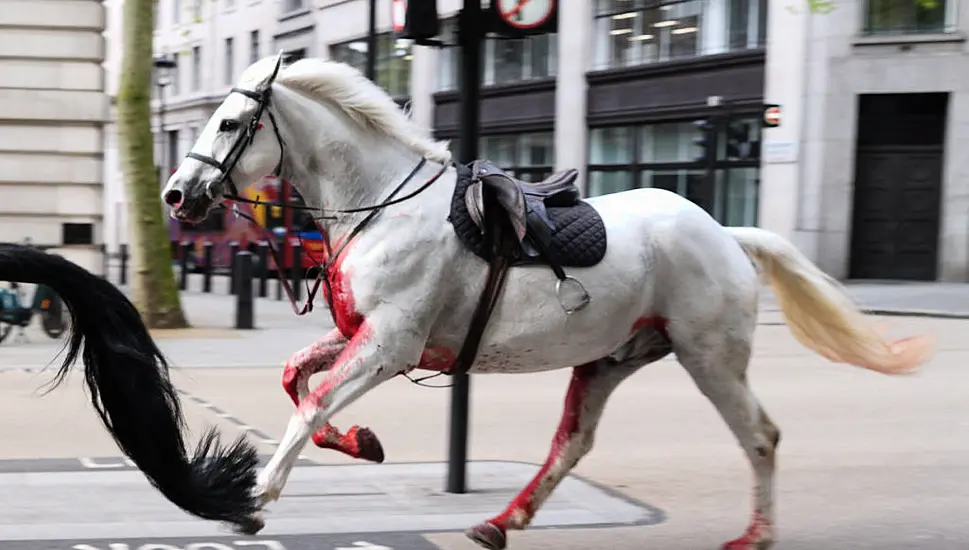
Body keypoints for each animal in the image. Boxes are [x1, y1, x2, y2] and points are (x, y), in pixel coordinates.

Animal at [161, 52, 932, 550]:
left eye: (229, 123)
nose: (175, 194)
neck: (381, 206)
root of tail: (723, 232)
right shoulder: (364, 336)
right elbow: (296, 379)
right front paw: (360, 443)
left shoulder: (389, 343)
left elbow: (313, 403)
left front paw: (255, 499)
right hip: (613, 357)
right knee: (574, 442)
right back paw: (500, 522)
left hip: (709, 357)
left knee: (760, 437)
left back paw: (755, 535)